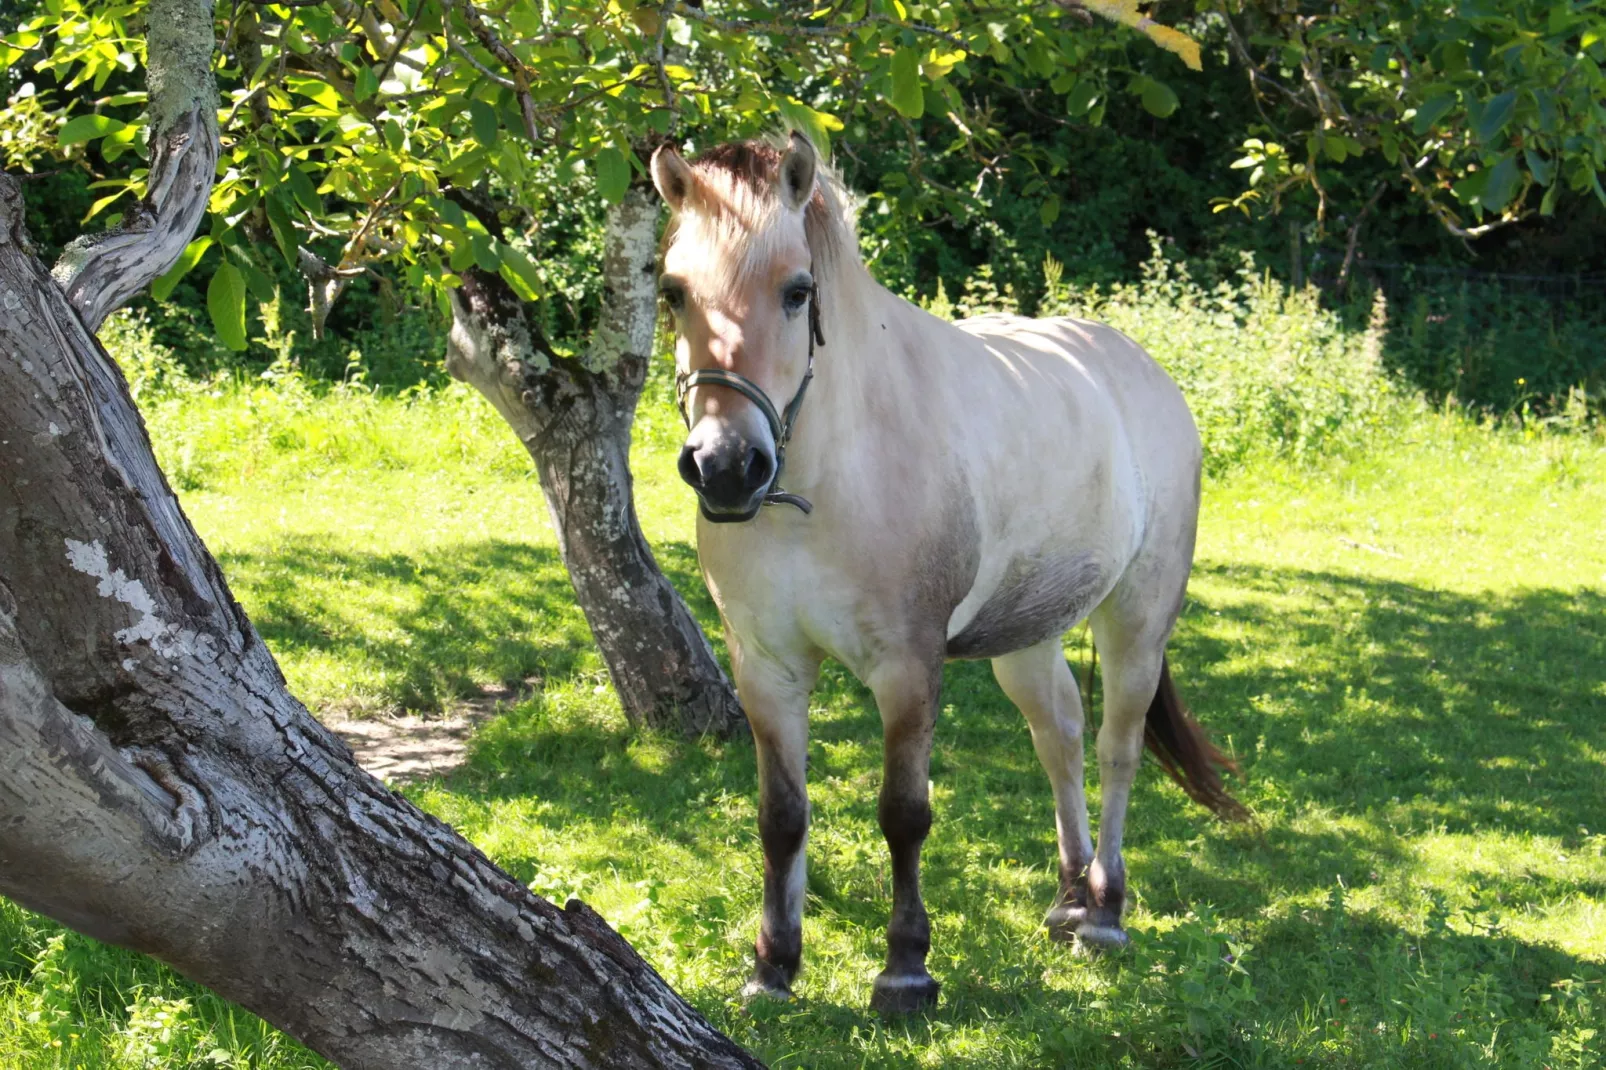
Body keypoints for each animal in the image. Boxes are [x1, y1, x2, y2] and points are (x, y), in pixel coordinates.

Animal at [645, 130, 1246, 1008]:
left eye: (797, 292)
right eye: (673, 291)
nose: (726, 467)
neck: (821, 483)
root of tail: (1143, 372)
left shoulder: (907, 668)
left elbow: (904, 813)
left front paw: (905, 968)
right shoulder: (767, 670)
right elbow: (780, 817)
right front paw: (772, 967)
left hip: (1136, 624)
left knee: (1116, 747)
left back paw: (1104, 911)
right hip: (1026, 641)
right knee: (1060, 736)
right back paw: (1069, 897)